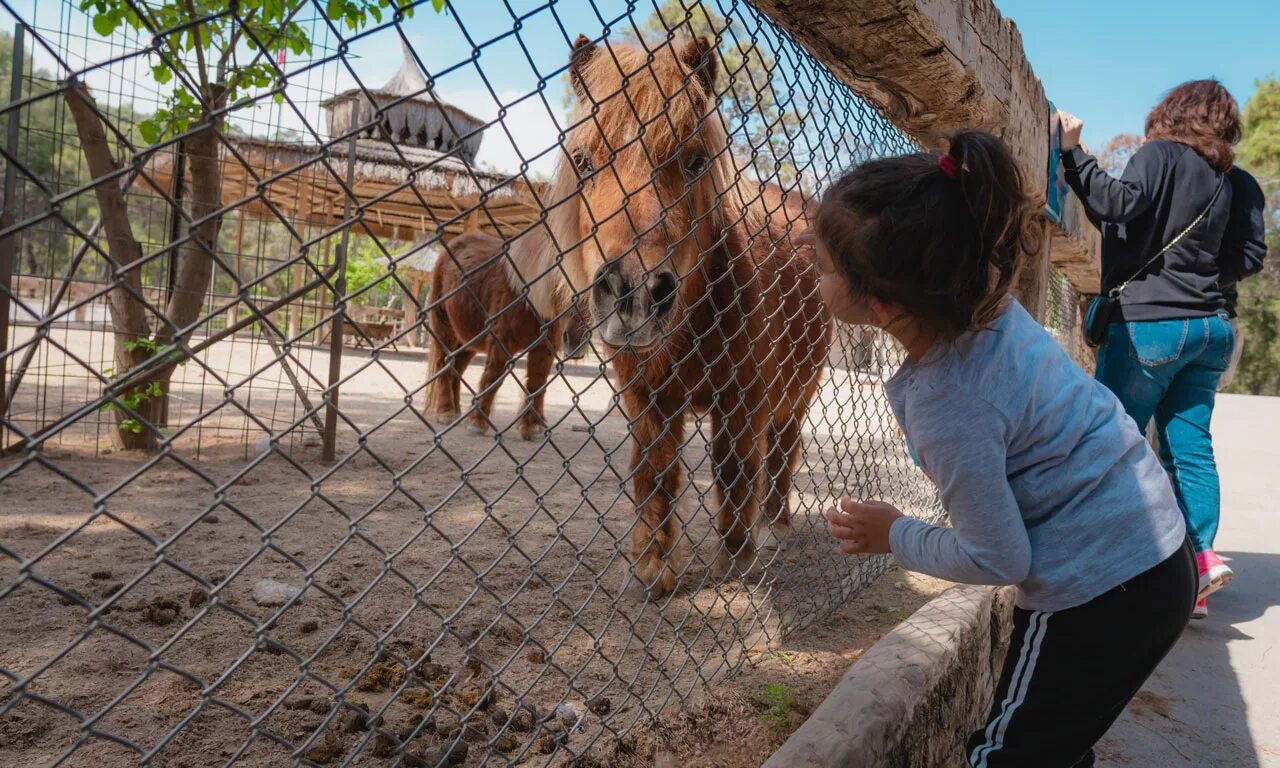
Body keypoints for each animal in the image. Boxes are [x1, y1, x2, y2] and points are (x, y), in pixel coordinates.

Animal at [514, 36, 834, 596]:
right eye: (582, 160)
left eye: (695, 161)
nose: (635, 295)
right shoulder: (648, 398)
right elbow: (655, 474)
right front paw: (652, 565)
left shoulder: (744, 399)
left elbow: (734, 468)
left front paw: (737, 556)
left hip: (797, 392)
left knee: (783, 450)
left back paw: (773, 524)